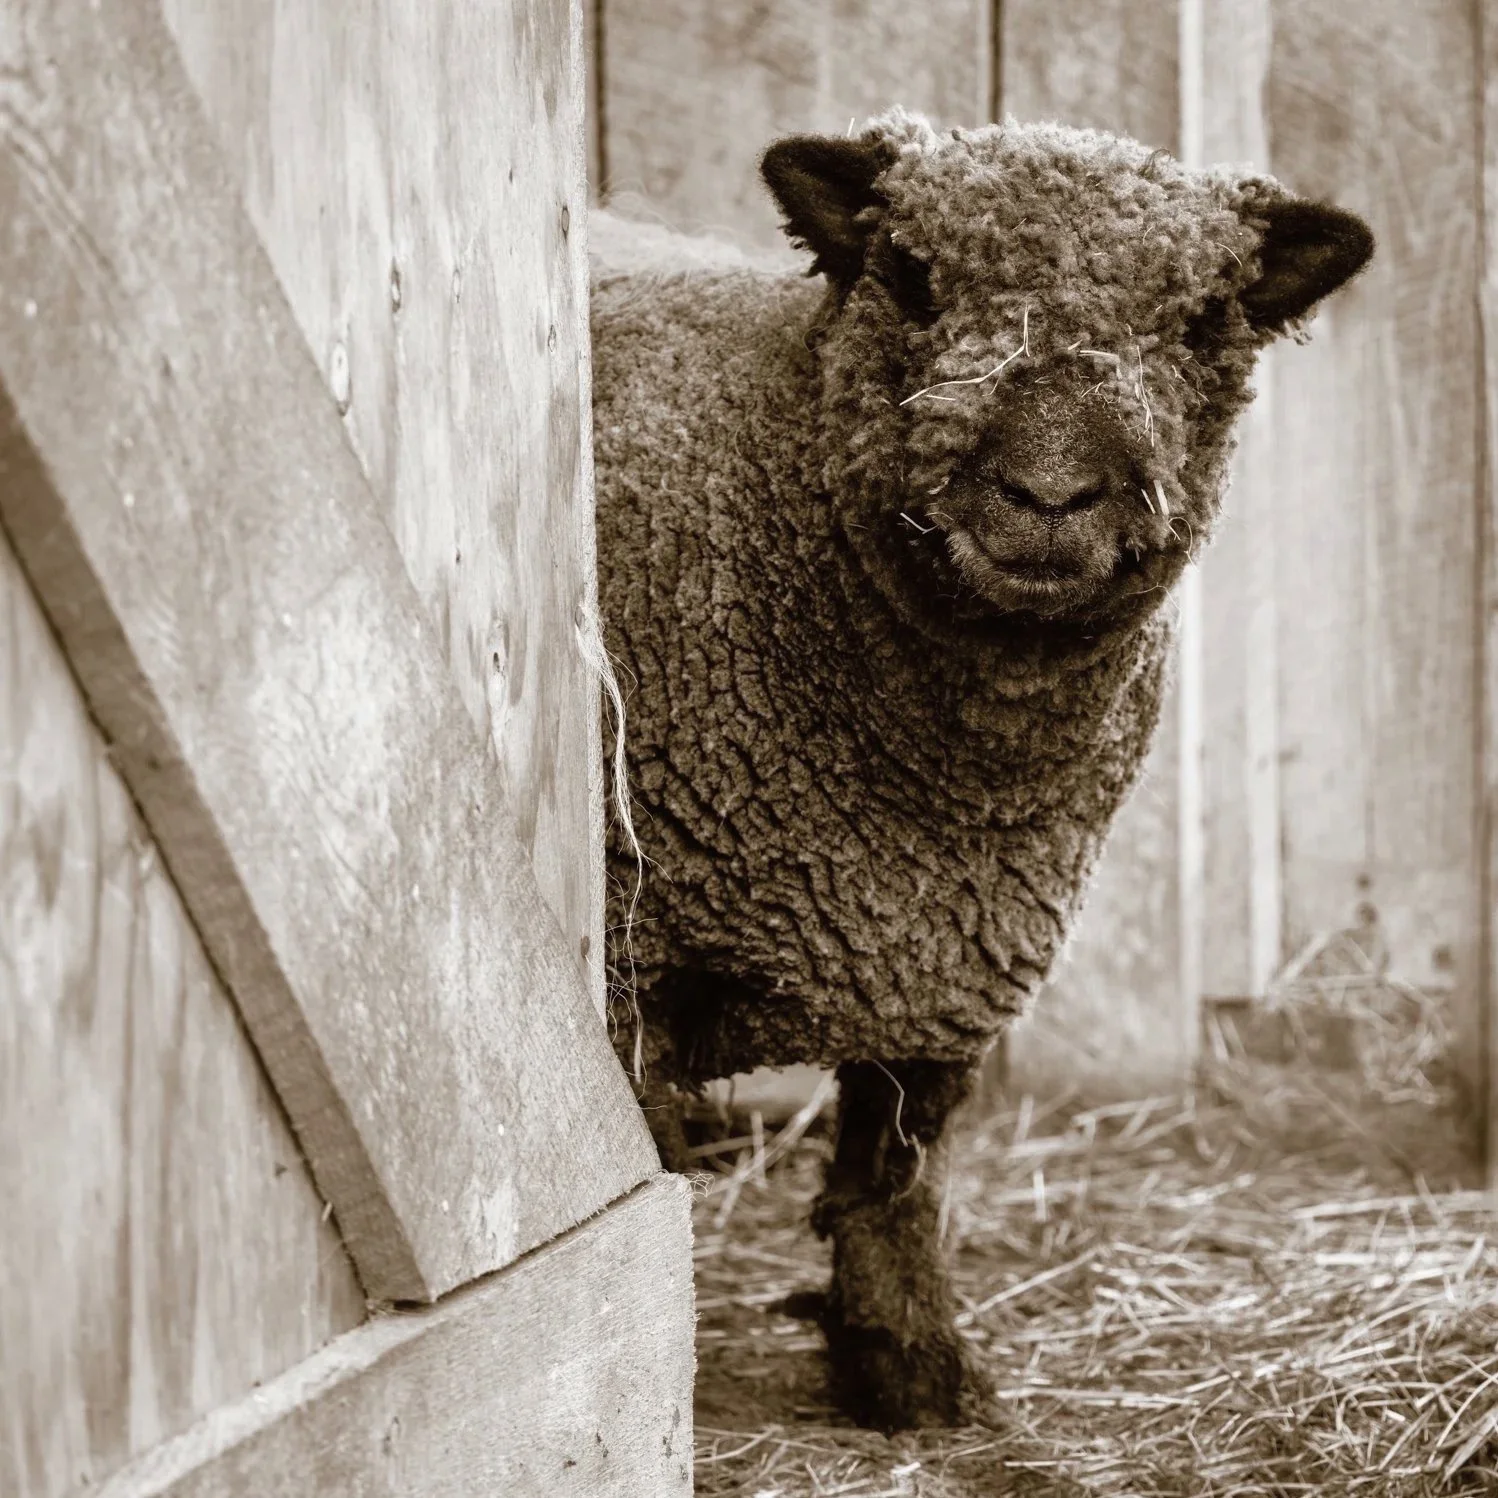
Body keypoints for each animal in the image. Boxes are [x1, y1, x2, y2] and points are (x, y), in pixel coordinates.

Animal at [590, 108, 1373, 1431]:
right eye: (909, 275)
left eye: (1202, 319)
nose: (1048, 495)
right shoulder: (629, 955)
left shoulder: (945, 954)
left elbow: (895, 1178)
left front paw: (909, 1371)